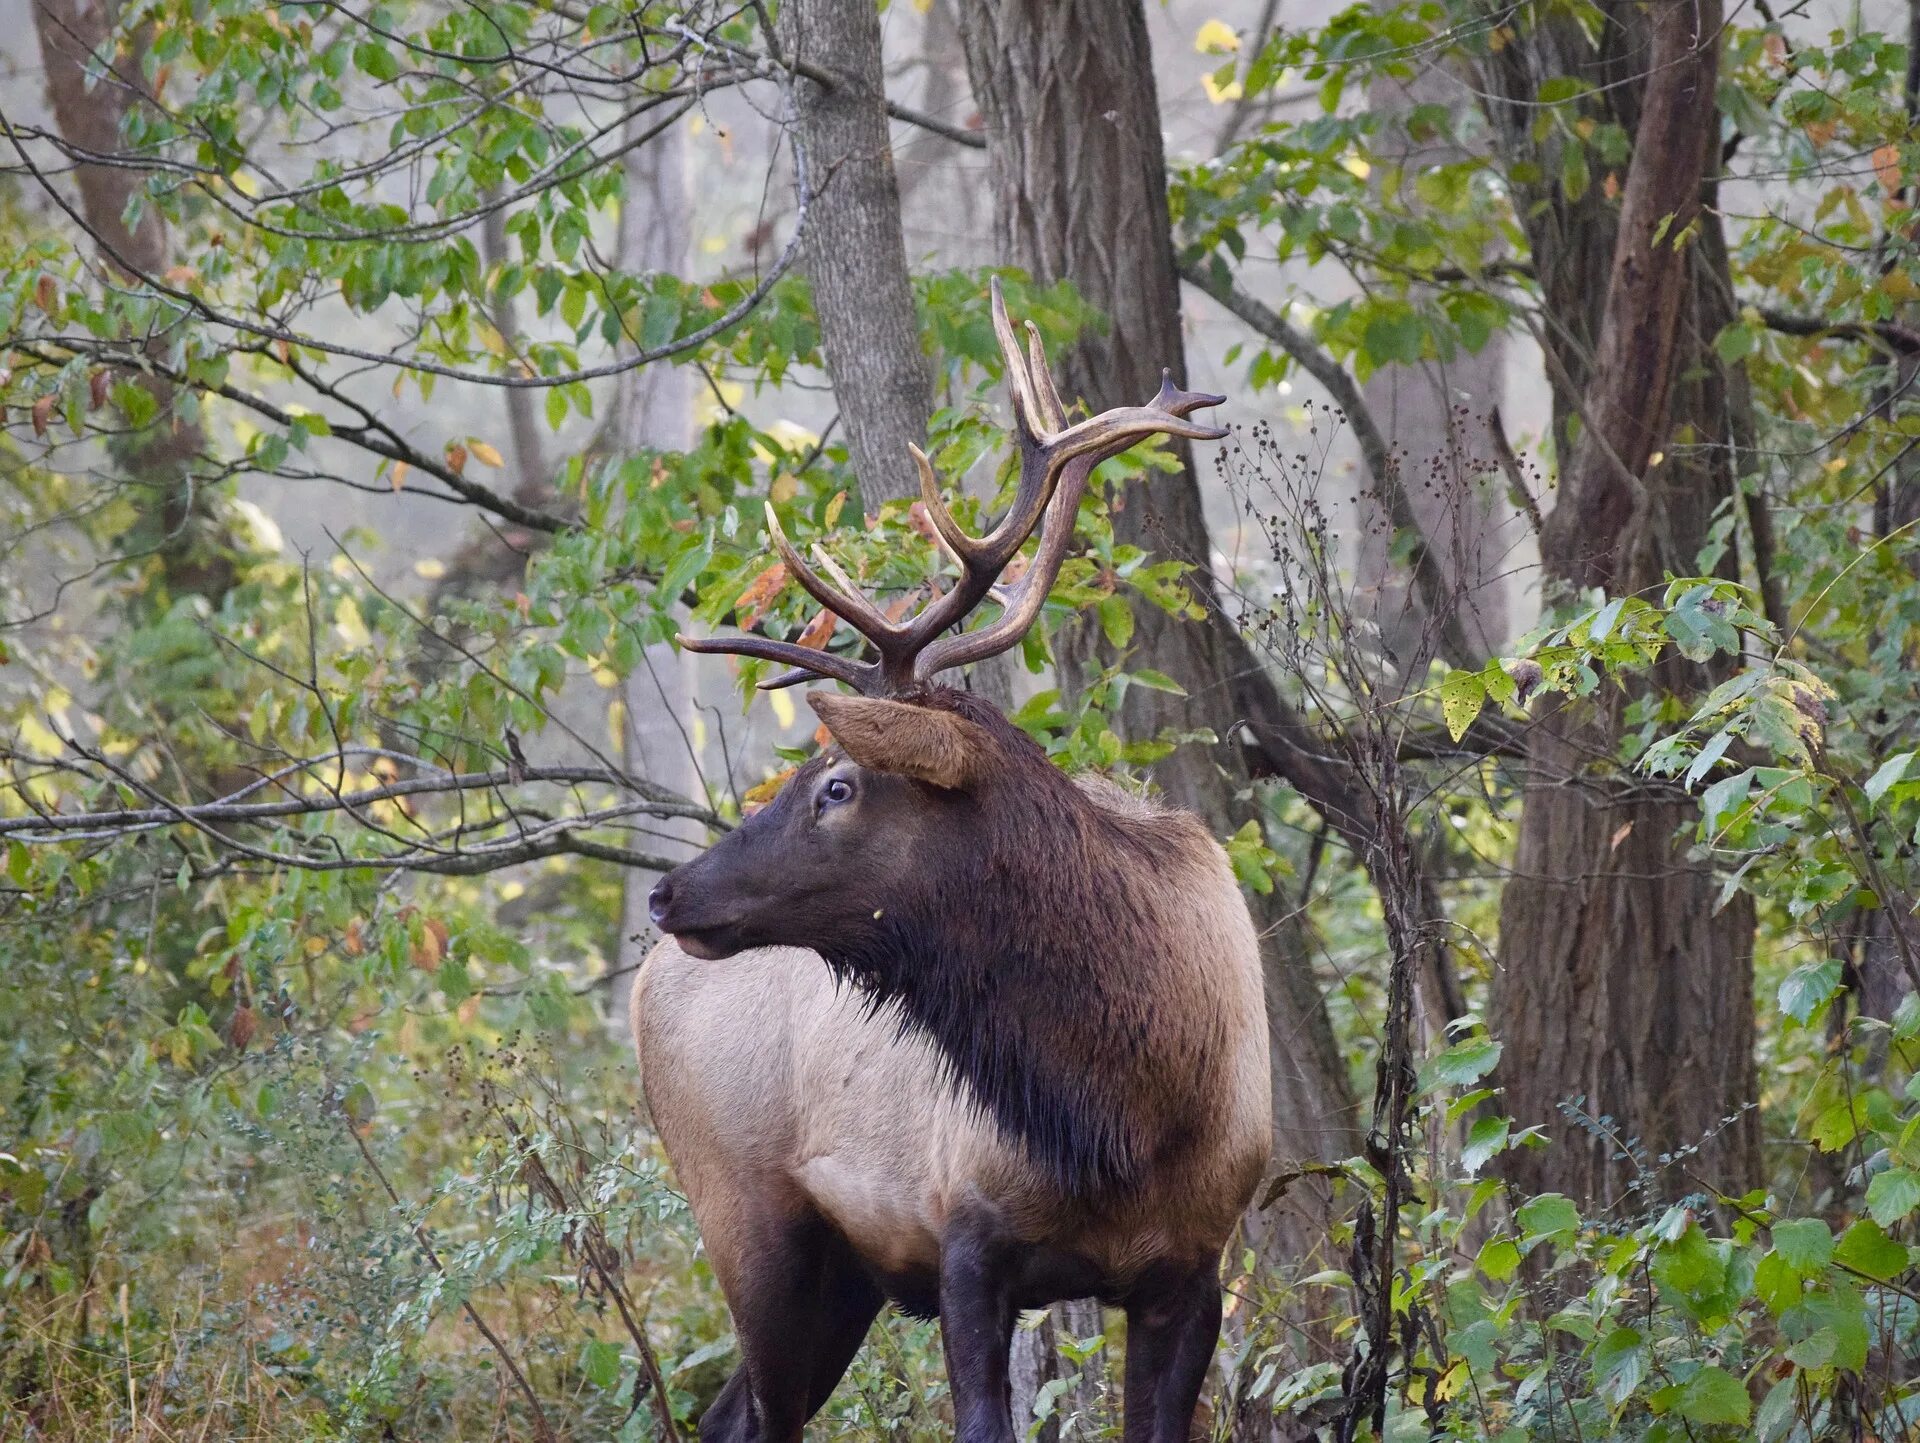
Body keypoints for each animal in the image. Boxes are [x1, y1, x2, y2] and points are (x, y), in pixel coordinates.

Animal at [641, 282, 1274, 1443]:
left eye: (839, 784)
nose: (668, 892)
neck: (1126, 1112)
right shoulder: (965, 1240)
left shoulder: (1194, 1267)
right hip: (745, 1215)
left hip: (837, 1273)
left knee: (731, 1414)